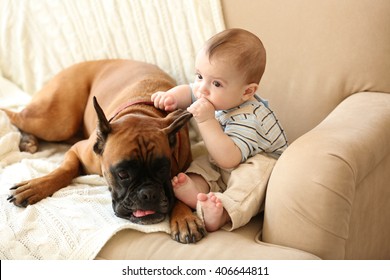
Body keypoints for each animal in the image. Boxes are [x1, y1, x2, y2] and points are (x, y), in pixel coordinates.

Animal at [1, 59, 206, 243]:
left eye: (163, 169)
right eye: (122, 174)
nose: (148, 194)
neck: (141, 111)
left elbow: (181, 189)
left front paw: (184, 218)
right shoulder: (77, 151)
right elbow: (65, 170)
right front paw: (37, 186)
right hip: (55, 122)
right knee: (14, 115)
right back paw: (27, 140)